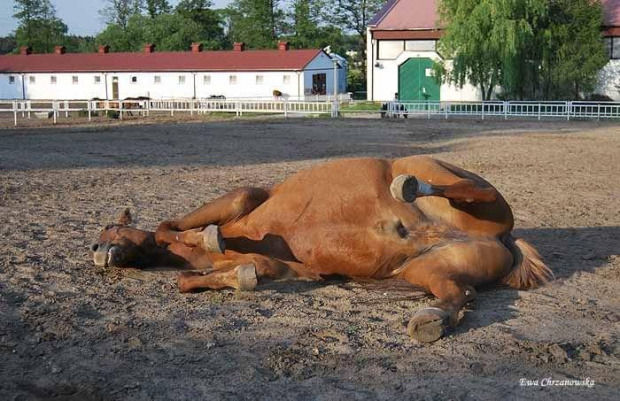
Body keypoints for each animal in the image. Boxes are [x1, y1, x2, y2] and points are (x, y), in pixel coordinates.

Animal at [89, 155, 548, 342]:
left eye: (110, 226)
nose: (95, 249)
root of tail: (501, 238)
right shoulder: (292, 268)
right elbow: (196, 277)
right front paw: (240, 277)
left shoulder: (240, 199)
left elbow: (170, 229)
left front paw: (204, 237)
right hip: (428, 270)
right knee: (459, 293)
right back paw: (430, 320)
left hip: (439, 173)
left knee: (469, 188)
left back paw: (410, 187)